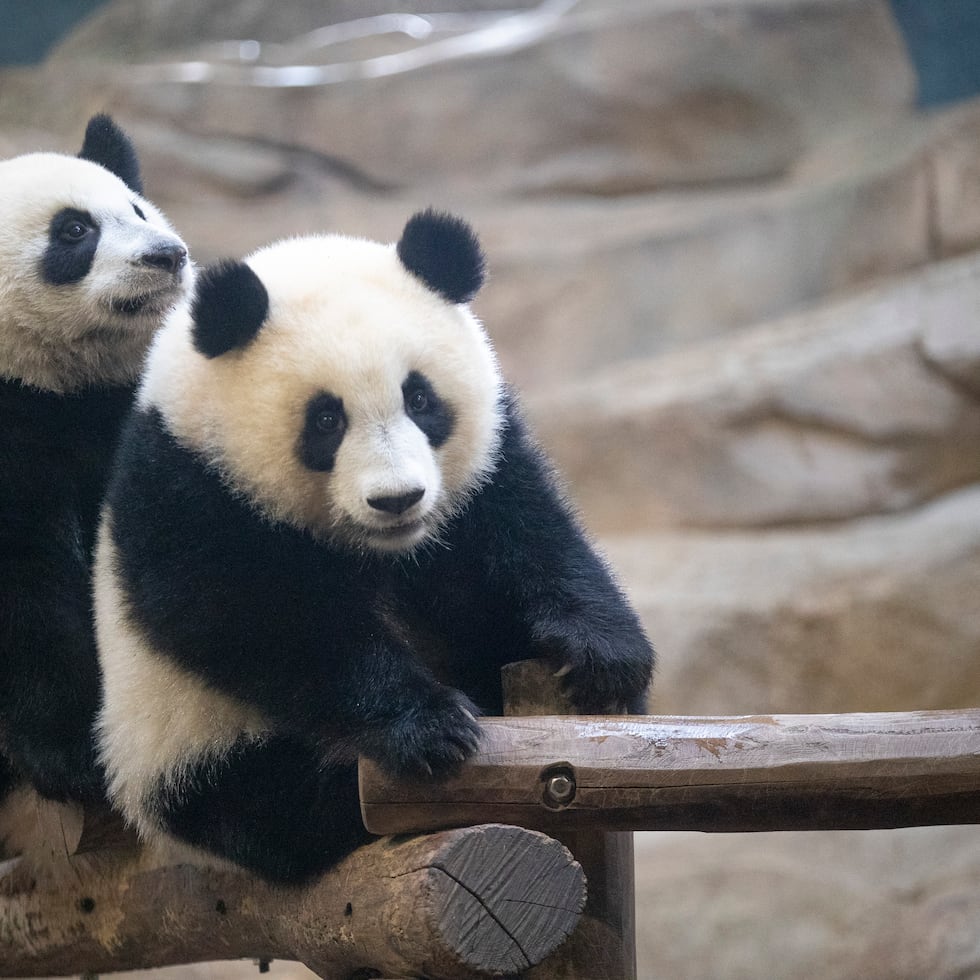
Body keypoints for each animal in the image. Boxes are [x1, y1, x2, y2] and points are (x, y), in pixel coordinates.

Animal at [95, 209, 653, 884]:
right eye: (326, 420)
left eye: (420, 398)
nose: (398, 499)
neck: (380, 549)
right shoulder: (188, 486)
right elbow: (257, 617)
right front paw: (430, 728)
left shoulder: (485, 467)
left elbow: (530, 533)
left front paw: (602, 658)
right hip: (186, 749)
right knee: (274, 801)